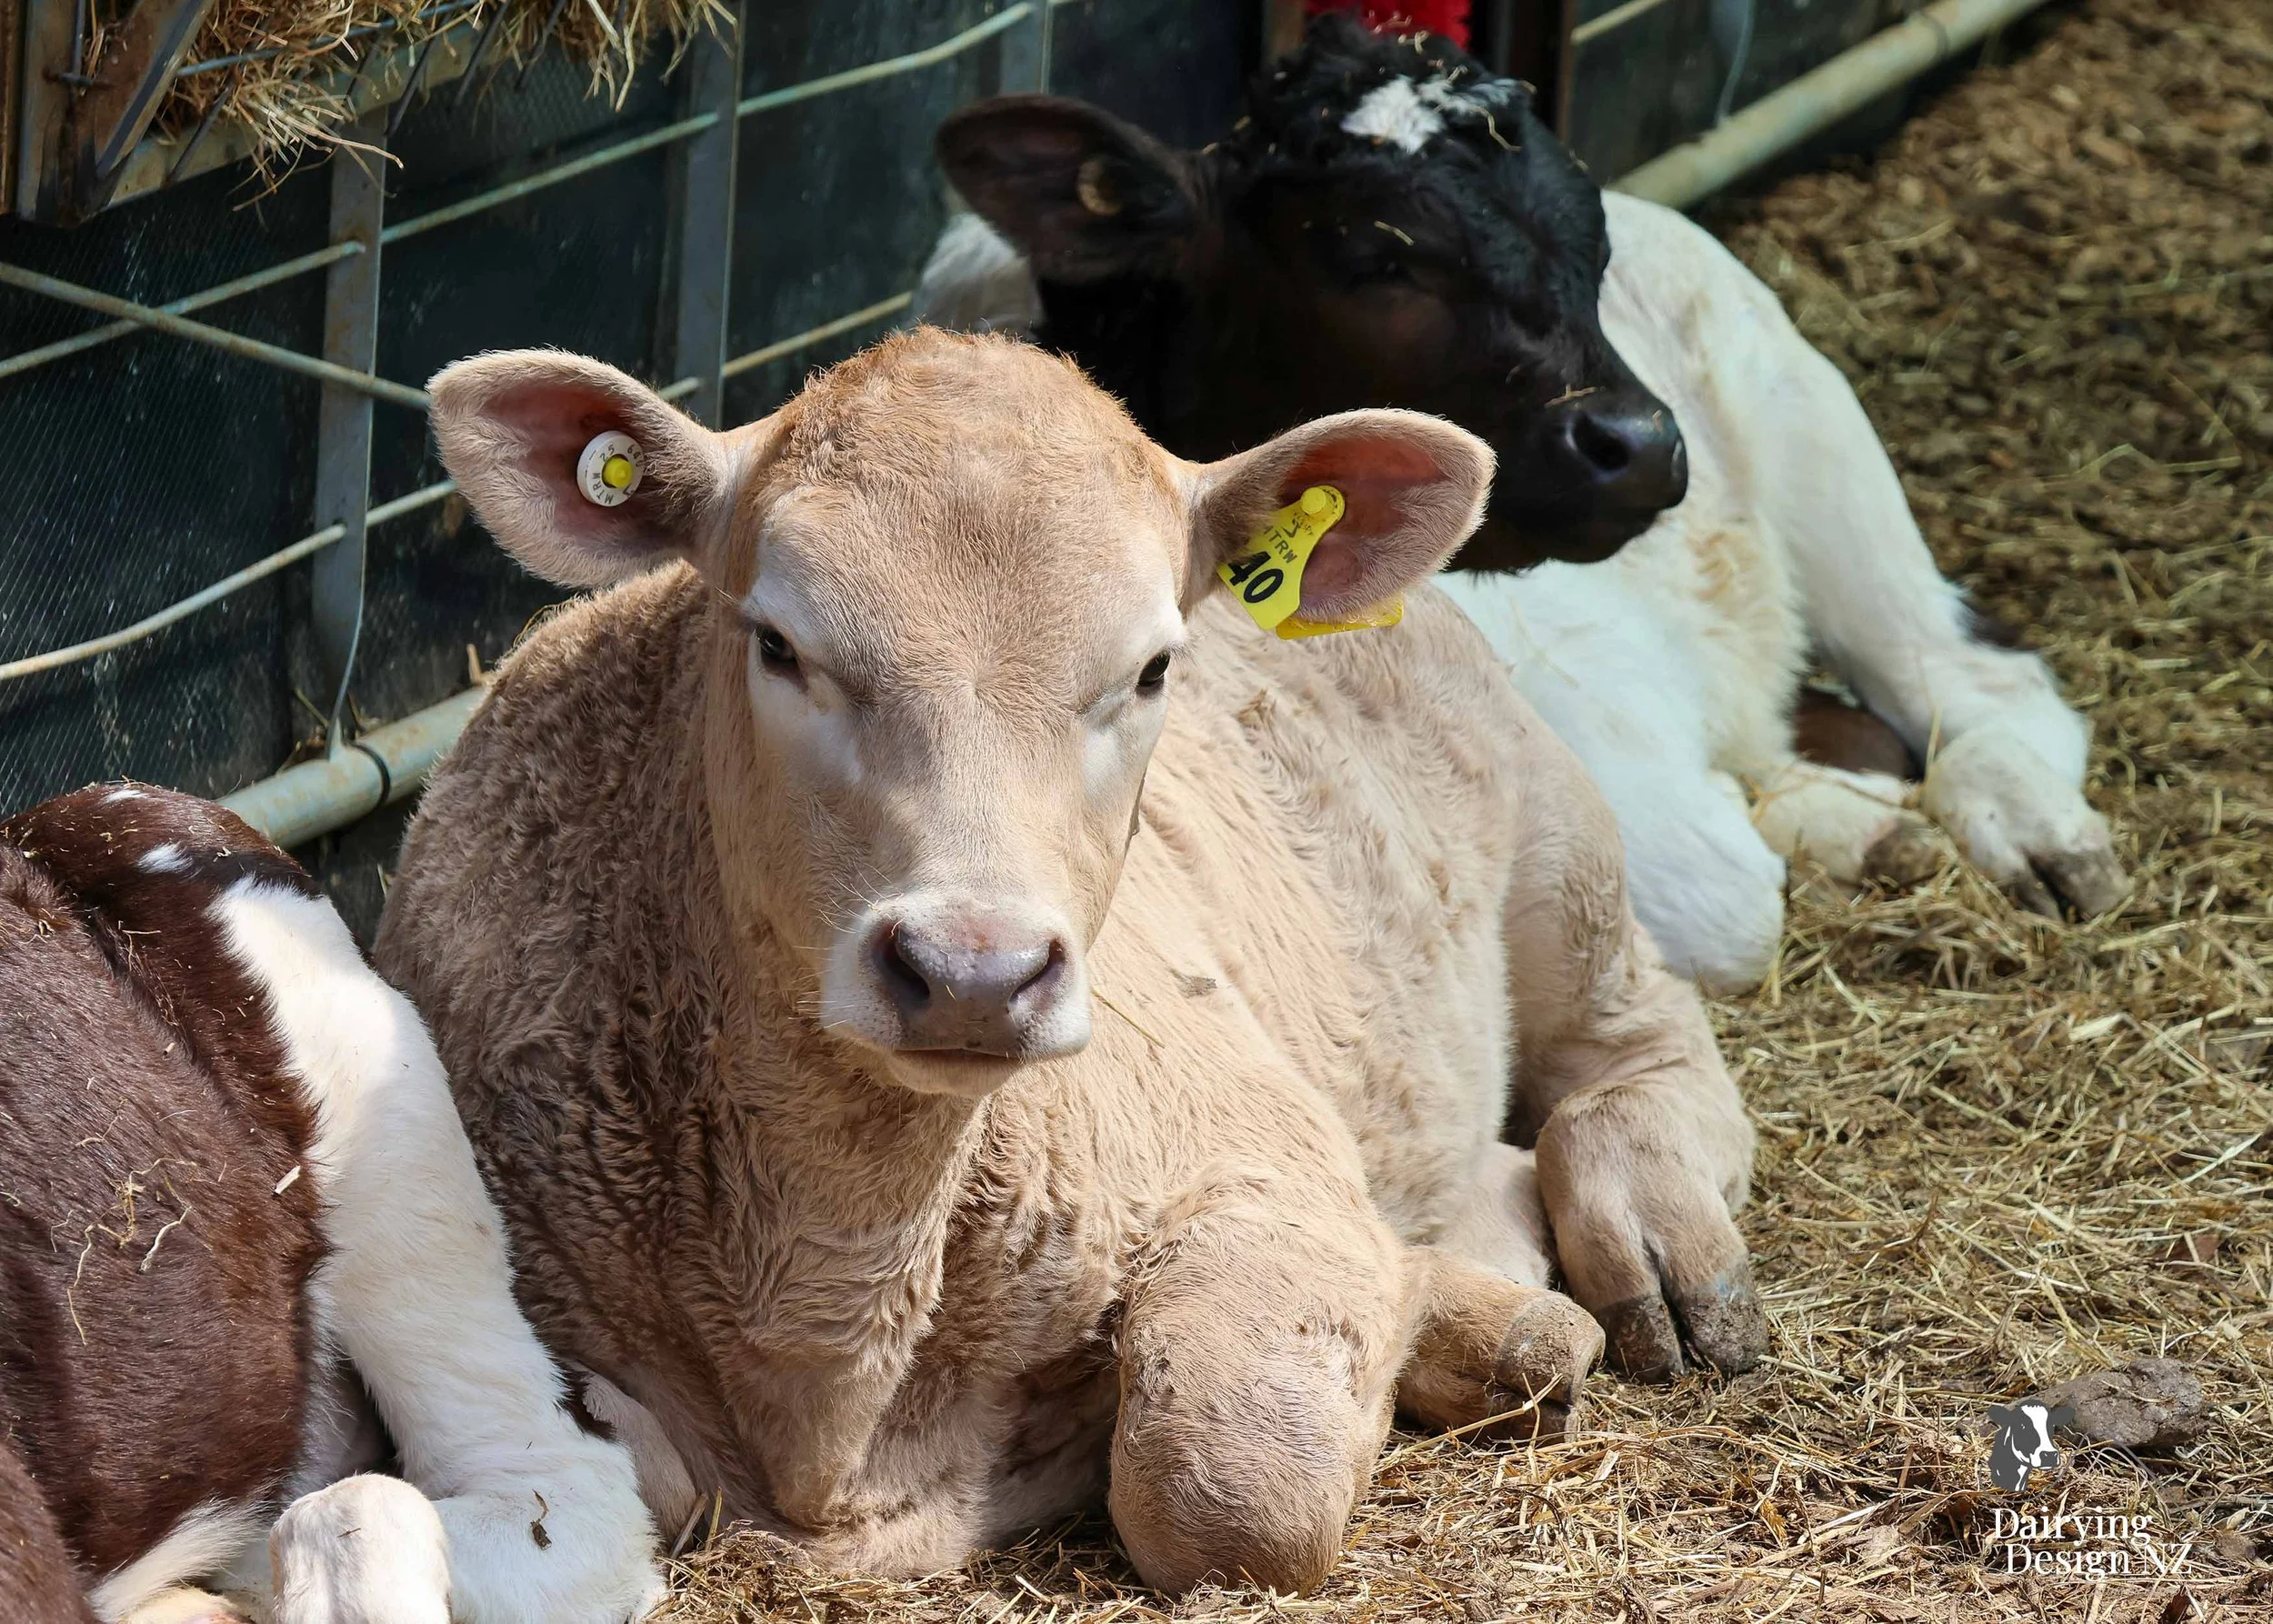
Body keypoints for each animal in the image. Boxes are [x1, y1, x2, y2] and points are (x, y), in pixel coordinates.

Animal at [372, 330, 1762, 1596]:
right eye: (776, 643)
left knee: (1647, 1039)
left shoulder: (1255, 1152)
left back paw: (1657, 1244)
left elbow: (1231, 1490)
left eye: (1151, 669)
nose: (971, 970)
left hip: (1558, 853)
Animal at [918, 15, 2128, 993]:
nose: (1641, 444)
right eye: (1376, 256)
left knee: (1975, 679)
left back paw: (2030, 832)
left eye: (1588, 243)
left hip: (1820, 445)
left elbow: (1715, 891)